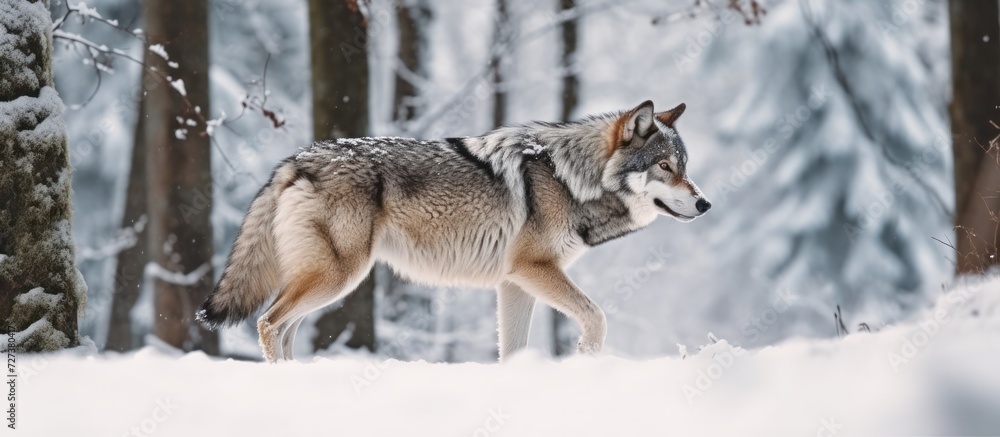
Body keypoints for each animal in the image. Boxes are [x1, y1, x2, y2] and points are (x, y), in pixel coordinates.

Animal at [197, 100, 711, 363]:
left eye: (684, 167)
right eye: (664, 167)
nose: (706, 203)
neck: (571, 178)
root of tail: (295, 161)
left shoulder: (514, 283)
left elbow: (512, 351)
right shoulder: (534, 270)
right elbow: (597, 316)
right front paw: (588, 360)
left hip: (328, 282)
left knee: (283, 330)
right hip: (338, 276)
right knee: (267, 322)